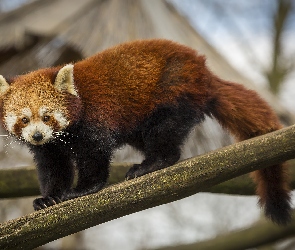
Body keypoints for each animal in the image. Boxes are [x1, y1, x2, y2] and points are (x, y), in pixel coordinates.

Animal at [0, 39, 292, 225]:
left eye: (47, 116)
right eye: (24, 119)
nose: (37, 135)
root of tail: (205, 73)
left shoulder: (94, 121)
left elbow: (95, 156)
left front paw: (83, 189)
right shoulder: (50, 148)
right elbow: (53, 167)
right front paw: (48, 198)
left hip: (172, 89)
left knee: (164, 132)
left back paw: (152, 163)